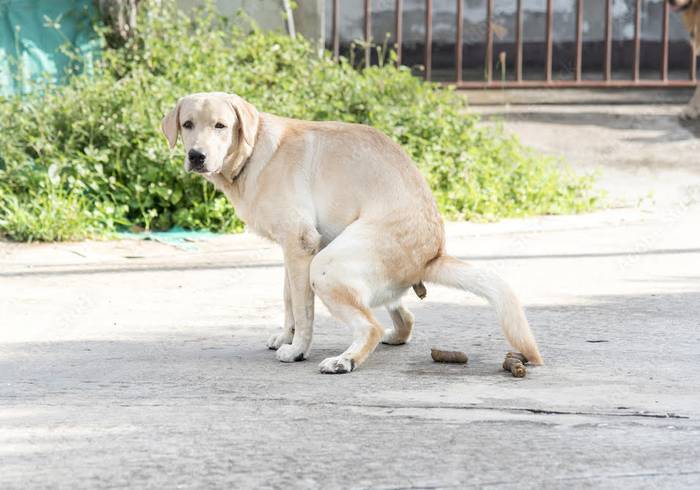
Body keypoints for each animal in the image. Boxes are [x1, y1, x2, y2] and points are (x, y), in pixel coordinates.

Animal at [161, 92, 544, 374]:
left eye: (221, 126)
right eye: (188, 124)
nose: (196, 156)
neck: (254, 155)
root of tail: (432, 254)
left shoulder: (301, 245)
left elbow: (303, 311)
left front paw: (297, 350)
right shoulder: (291, 251)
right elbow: (289, 301)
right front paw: (285, 337)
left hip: (325, 267)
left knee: (369, 326)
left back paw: (345, 360)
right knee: (404, 320)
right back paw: (388, 337)